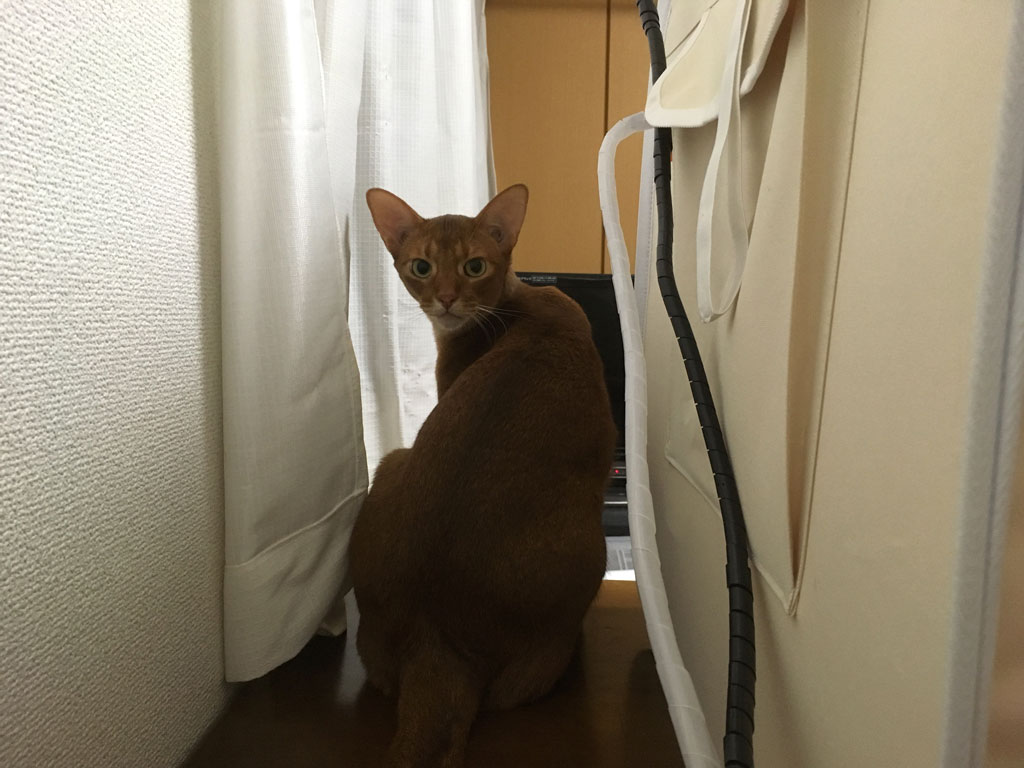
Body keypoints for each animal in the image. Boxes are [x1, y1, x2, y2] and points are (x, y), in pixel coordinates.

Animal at [349, 184, 616, 768]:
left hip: (394, 460)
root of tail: (435, 635)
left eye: (474, 266)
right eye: (422, 266)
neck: (521, 304)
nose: (447, 299)